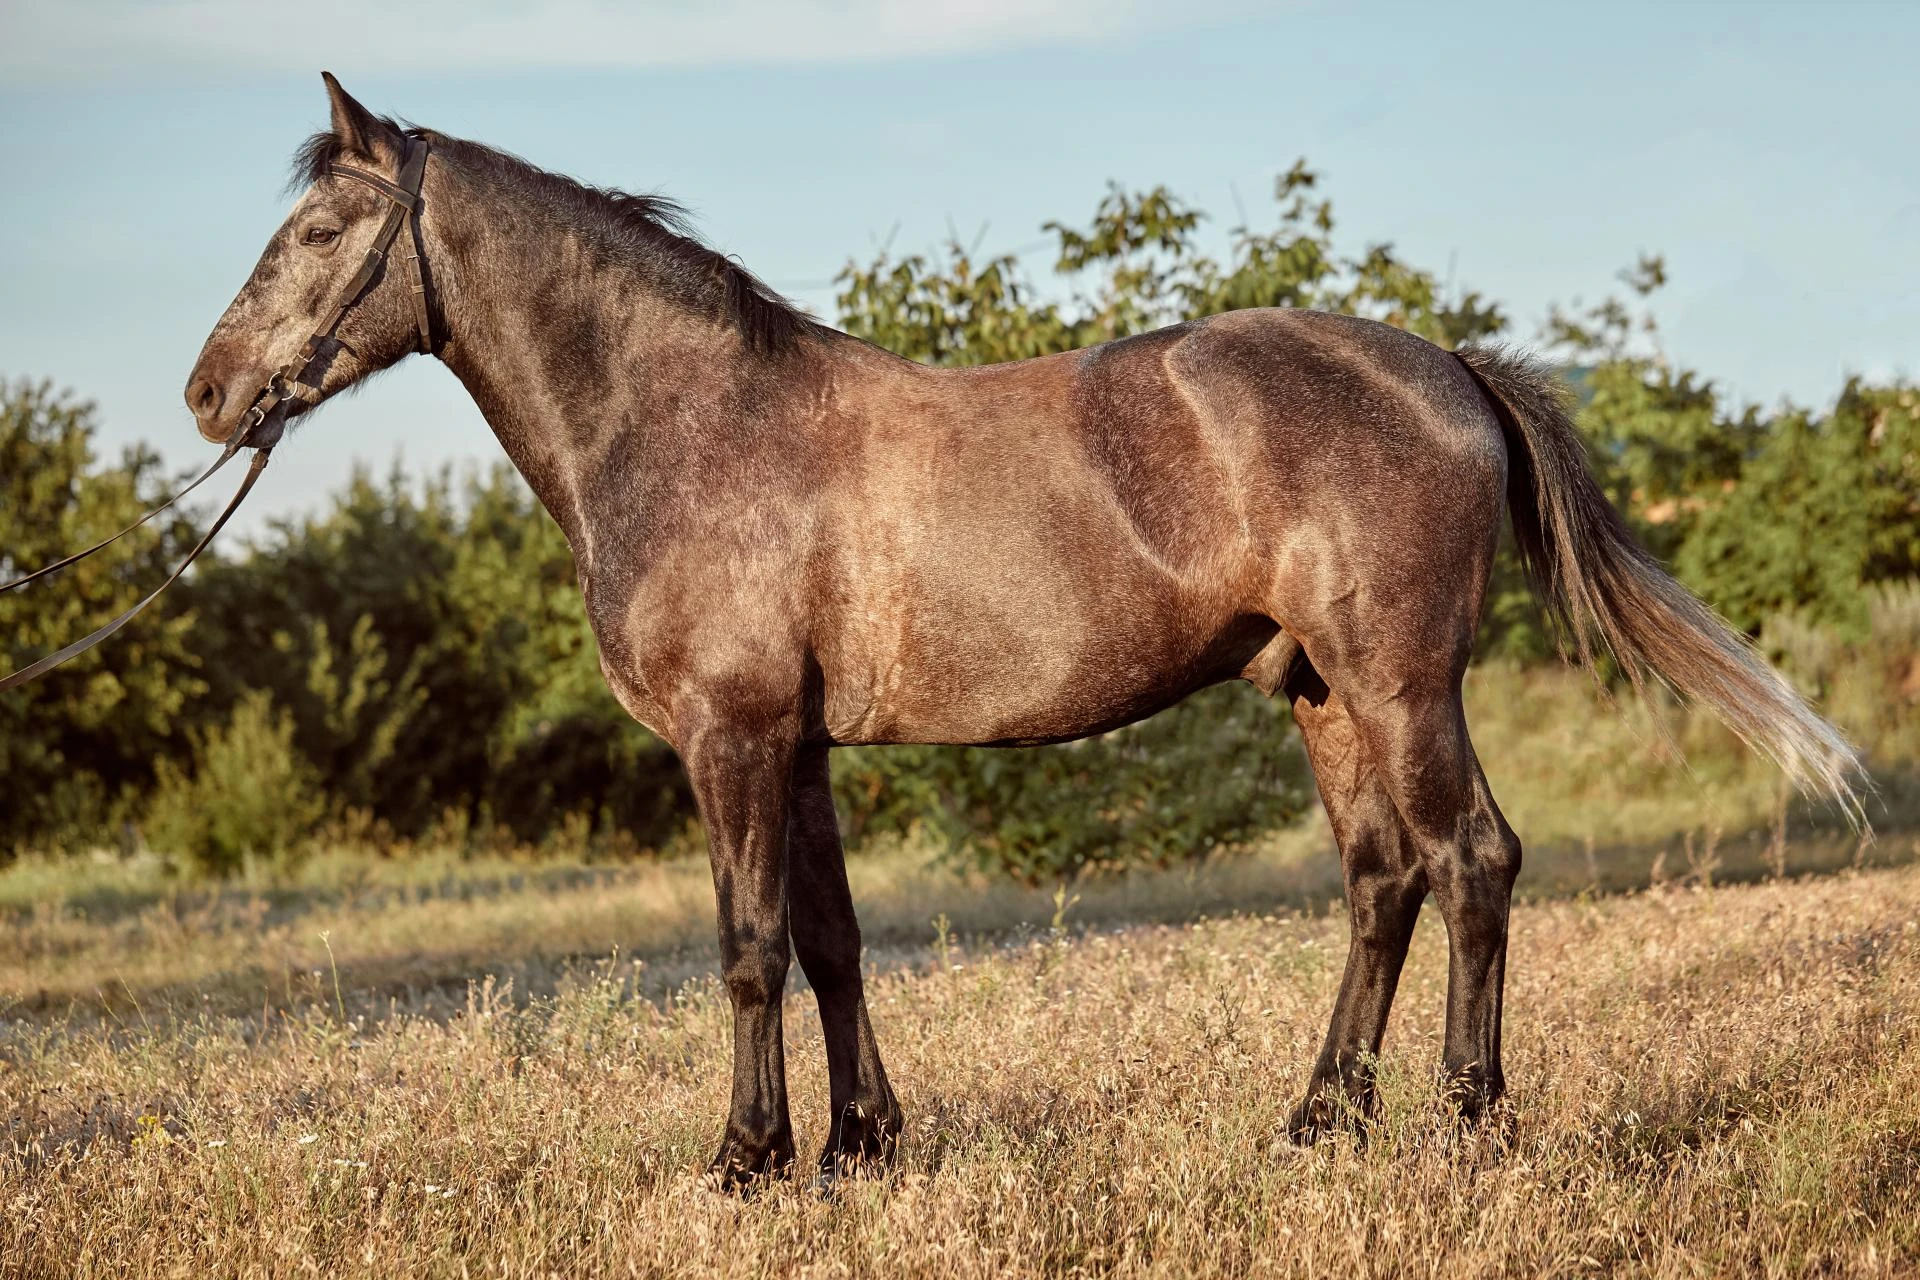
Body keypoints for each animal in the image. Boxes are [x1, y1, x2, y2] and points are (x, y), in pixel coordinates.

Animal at [185, 74, 1861, 1189]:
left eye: (322, 228)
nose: (209, 395)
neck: (691, 422)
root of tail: (1444, 365)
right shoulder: (798, 748)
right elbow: (833, 941)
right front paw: (859, 1148)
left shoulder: (734, 738)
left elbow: (746, 946)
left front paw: (744, 1159)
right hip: (1325, 696)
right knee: (1384, 882)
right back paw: (1317, 1124)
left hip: (1402, 686)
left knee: (1474, 865)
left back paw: (1470, 1126)